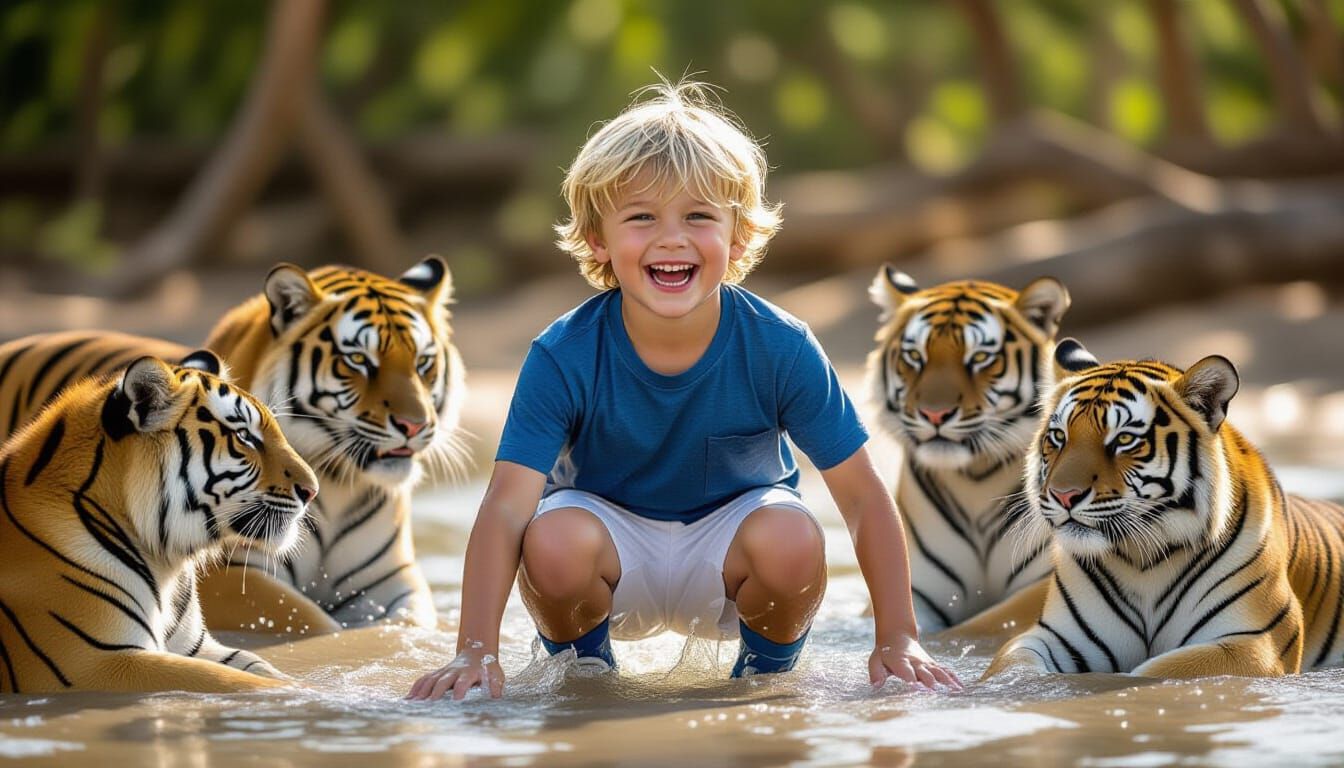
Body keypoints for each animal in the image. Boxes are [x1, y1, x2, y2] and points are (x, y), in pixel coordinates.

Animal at [0, 257, 467, 634]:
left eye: (423, 362)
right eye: (358, 360)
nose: (414, 425)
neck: (339, 485)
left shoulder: (393, 583)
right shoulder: (231, 576)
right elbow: (317, 623)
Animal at [0, 351, 318, 692]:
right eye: (244, 435)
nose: (312, 491)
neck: (165, 561)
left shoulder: (196, 646)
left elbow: (259, 667)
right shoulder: (94, 663)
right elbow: (240, 682)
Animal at [865, 266, 1070, 634]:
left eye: (980, 358)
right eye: (915, 356)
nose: (934, 414)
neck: (973, 480)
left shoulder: (1041, 583)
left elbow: (978, 625)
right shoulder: (916, 588)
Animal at [984, 339, 1344, 679]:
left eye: (1124, 439)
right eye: (1059, 436)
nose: (1064, 495)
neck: (1143, 562)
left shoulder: (1254, 643)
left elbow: (1150, 673)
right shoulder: (1055, 637)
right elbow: (1014, 667)